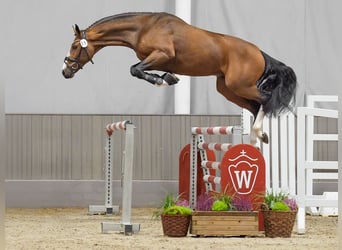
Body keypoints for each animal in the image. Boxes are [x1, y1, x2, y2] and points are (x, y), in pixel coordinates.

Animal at [62, 11, 296, 145]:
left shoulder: (162, 54)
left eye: (74, 46)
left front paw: (163, 80)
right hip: (227, 88)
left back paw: (258, 133)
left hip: (239, 84)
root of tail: (259, 52)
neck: (142, 28)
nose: (65, 72)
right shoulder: (156, 59)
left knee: (265, 99)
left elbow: (135, 70)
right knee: (256, 106)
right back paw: (259, 137)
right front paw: (169, 78)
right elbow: (139, 70)